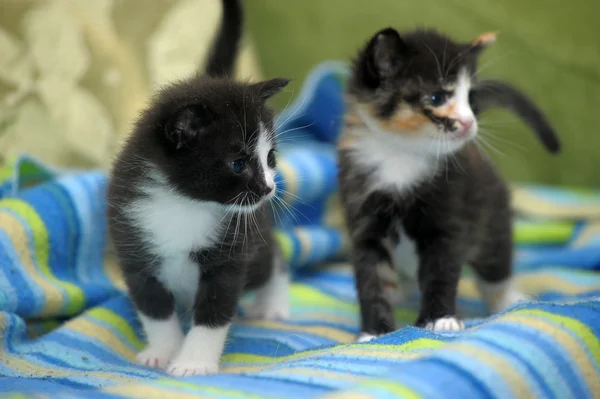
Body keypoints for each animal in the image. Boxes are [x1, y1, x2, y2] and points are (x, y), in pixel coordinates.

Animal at [107, 0, 290, 376]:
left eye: (270, 158)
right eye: (238, 164)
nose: (268, 188)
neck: (183, 205)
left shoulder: (230, 256)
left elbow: (214, 312)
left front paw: (193, 362)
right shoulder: (133, 246)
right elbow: (154, 308)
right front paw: (163, 350)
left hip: (256, 242)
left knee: (271, 258)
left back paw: (274, 302)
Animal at [340, 28, 560, 342]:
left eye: (471, 100)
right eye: (437, 97)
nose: (469, 123)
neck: (401, 155)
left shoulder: (448, 217)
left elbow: (441, 272)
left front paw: (439, 318)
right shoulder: (363, 219)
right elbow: (372, 279)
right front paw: (374, 331)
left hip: (491, 217)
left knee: (495, 266)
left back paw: (507, 298)